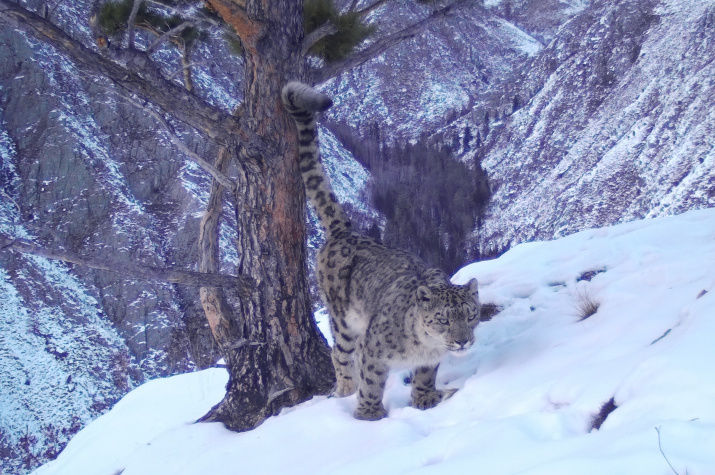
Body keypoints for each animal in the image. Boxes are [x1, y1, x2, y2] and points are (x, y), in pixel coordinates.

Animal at [281, 81, 481, 421]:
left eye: (471, 314)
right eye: (442, 319)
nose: (462, 340)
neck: (423, 345)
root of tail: (345, 232)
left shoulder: (429, 359)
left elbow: (425, 375)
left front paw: (425, 399)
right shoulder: (375, 349)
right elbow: (372, 380)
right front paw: (369, 413)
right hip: (343, 322)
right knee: (340, 354)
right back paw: (345, 389)